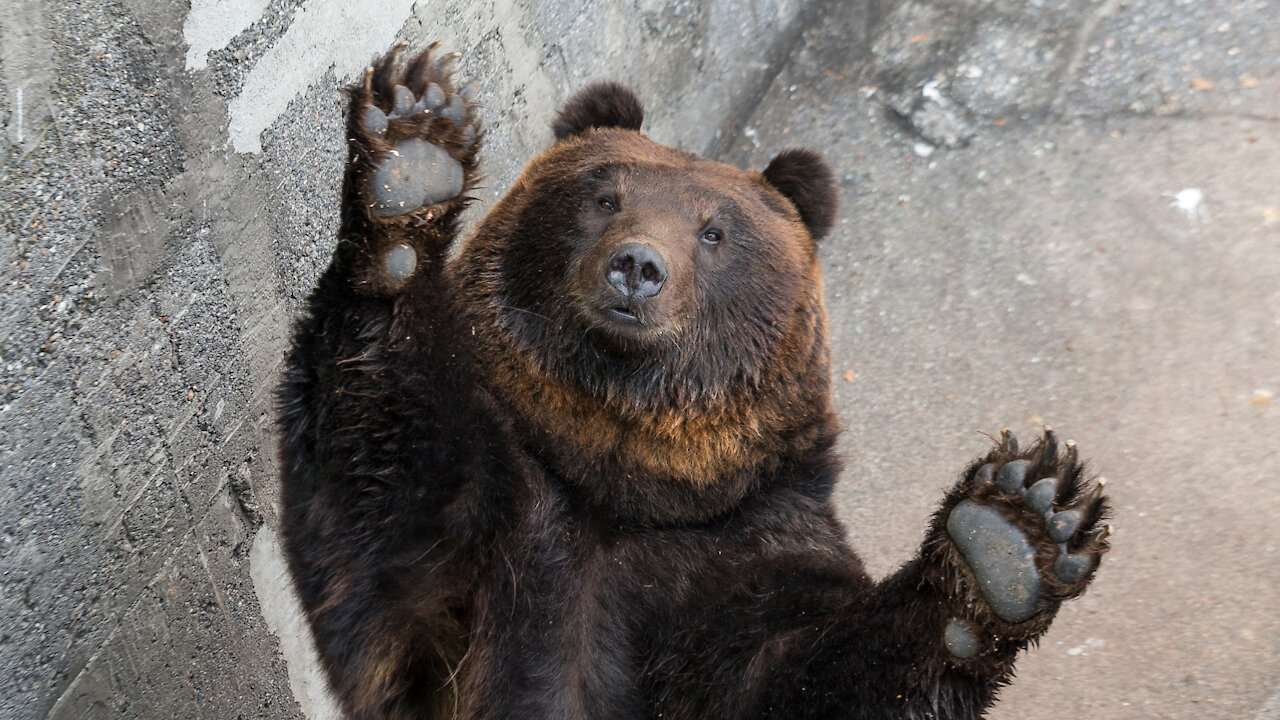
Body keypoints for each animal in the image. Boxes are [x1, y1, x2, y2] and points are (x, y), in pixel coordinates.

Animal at [277, 43, 1111, 717]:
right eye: (604, 196)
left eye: (714, 231)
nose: (638, 266)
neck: (625, 479)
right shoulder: (492, 534)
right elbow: (384, 508)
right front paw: (412, 152)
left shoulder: (744, 548)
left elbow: (804, 672)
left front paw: (1015, 531)